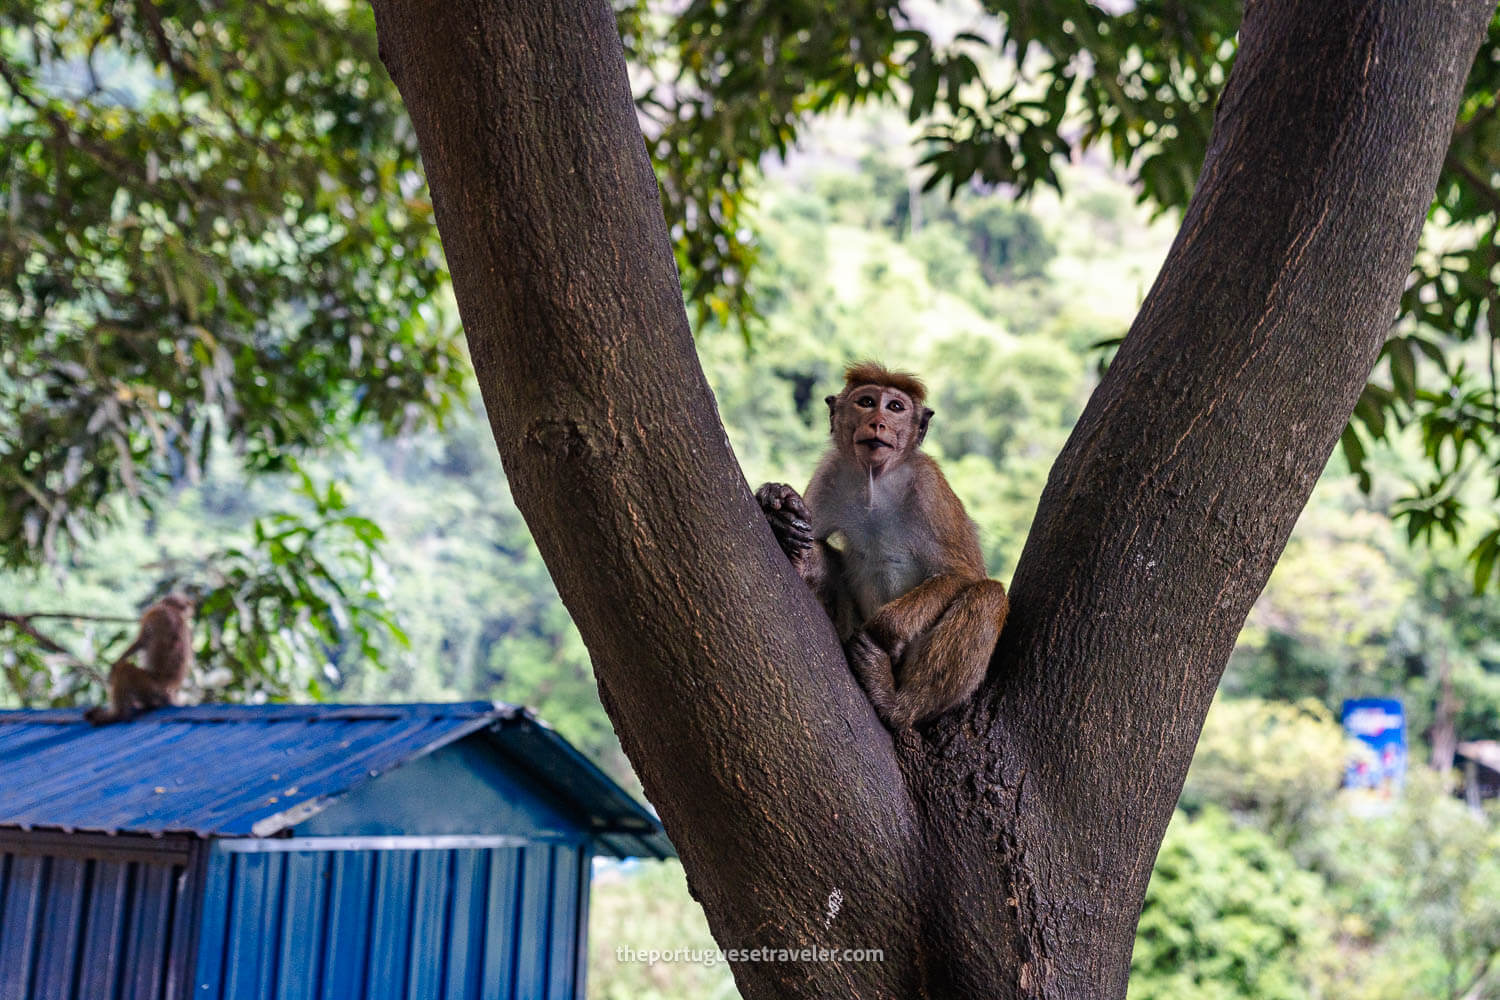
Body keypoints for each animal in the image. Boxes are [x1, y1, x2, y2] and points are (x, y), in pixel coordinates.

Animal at [84, 593, 195, 728]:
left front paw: (115, 666)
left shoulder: (155, 613)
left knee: (124, 669)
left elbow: (140, 641)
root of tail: (168, 691)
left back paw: (116, 715)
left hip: (151, 689)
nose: (189, 611)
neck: (172, 610)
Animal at [756, 364, 1014, 731]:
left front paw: (882, 631)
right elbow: (816, 532)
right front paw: (782, 510)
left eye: (895, 407)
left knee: (987, 595)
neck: (875, 480)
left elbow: (962, 573)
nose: (878, 422)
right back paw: (797, 552)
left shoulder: (929, 486)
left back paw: (896, 703)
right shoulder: (831, 471)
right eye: (866, 402)